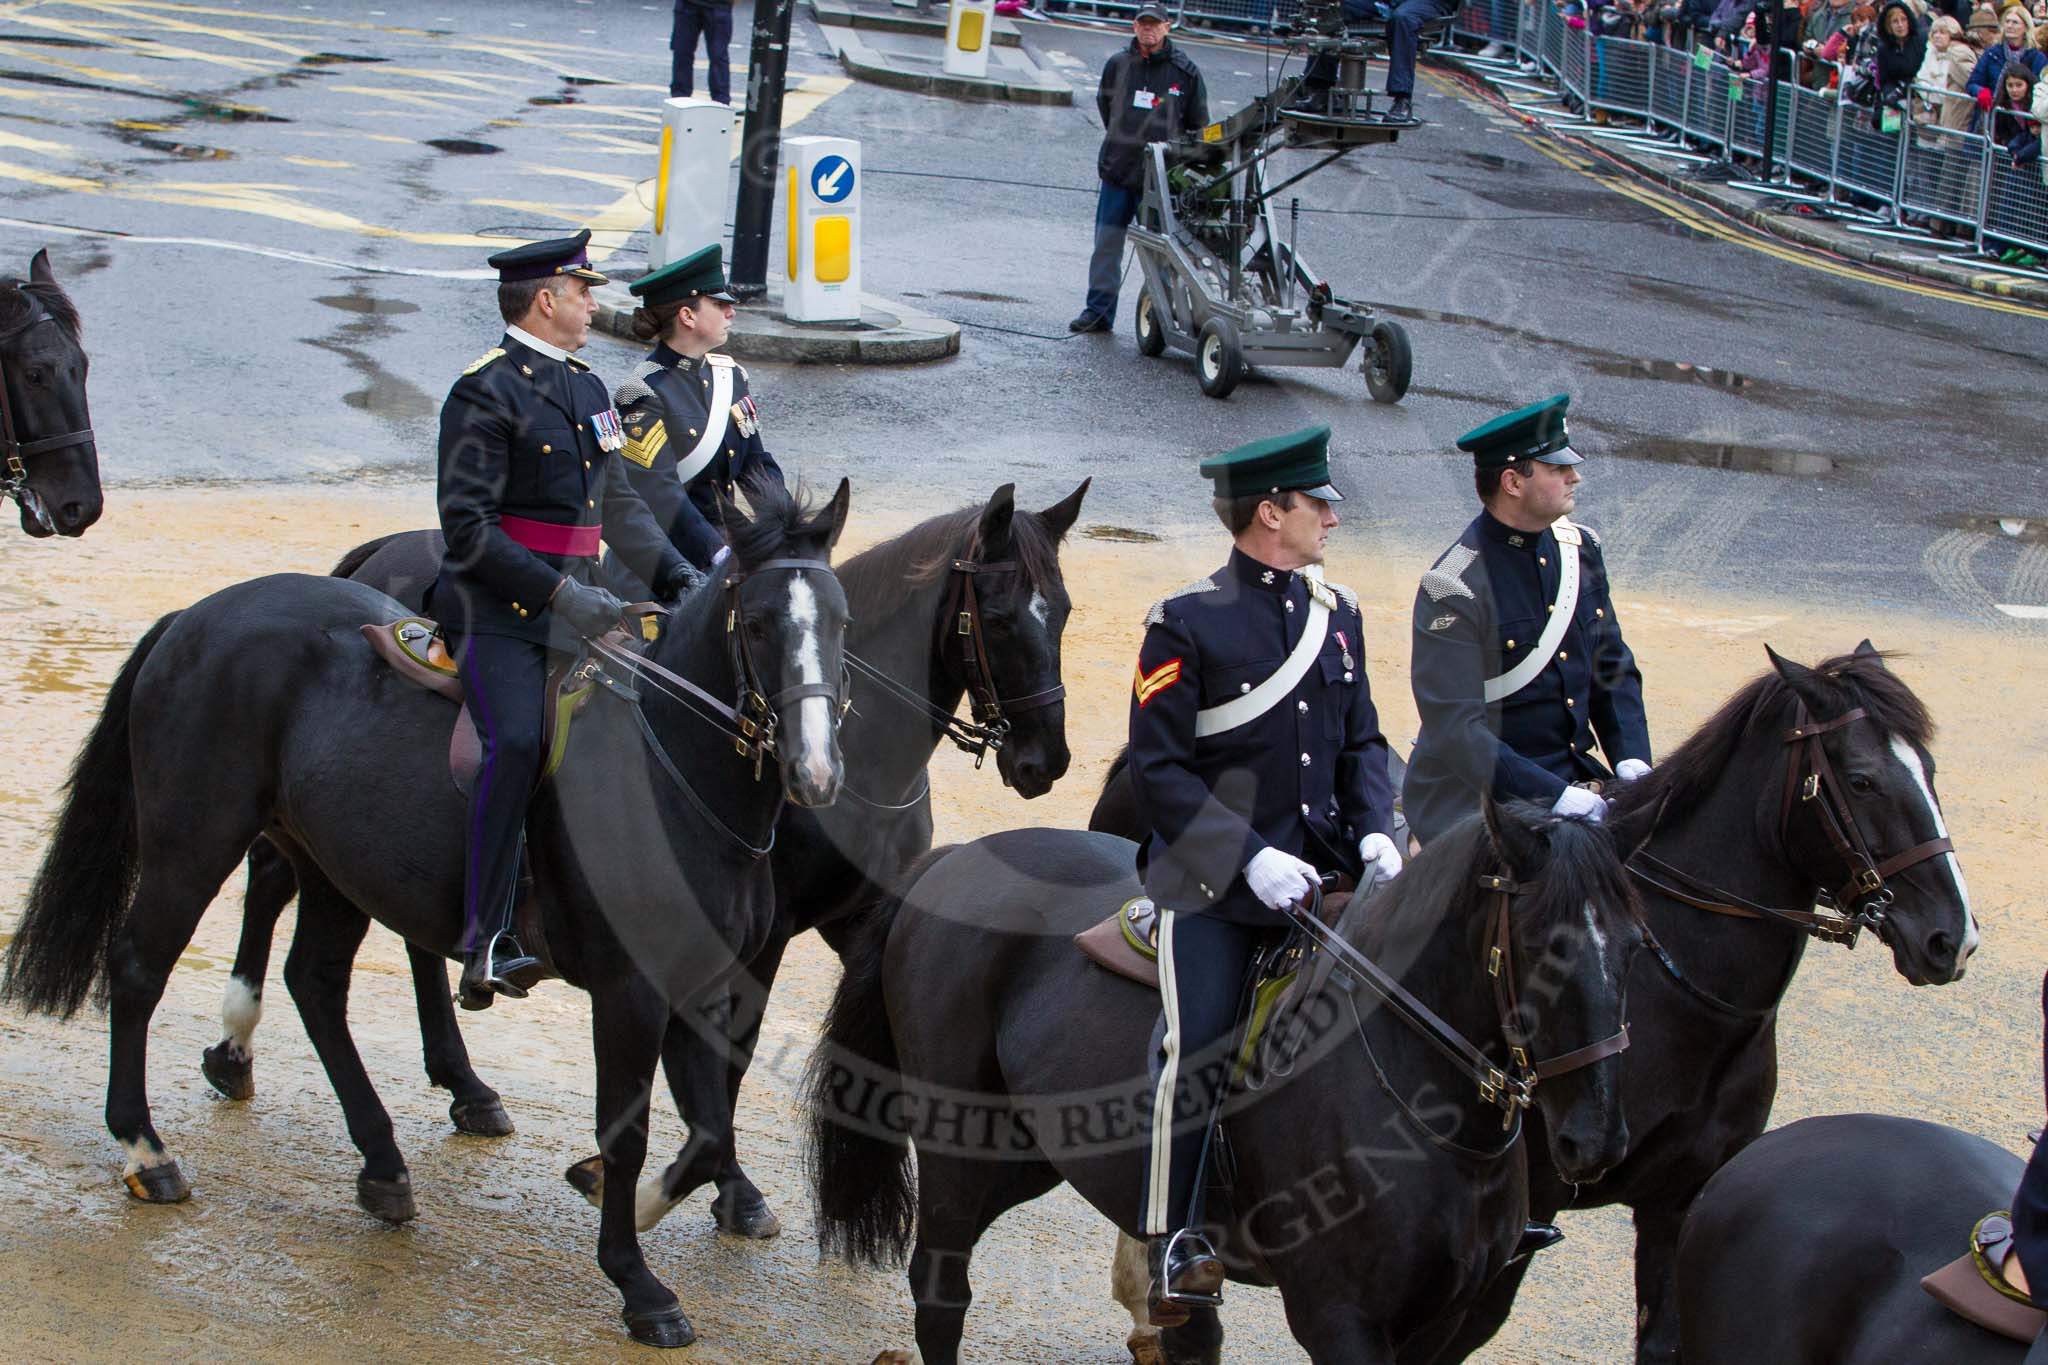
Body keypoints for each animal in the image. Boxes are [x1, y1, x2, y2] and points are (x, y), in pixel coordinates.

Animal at [0, 485, 847, 1350]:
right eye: (759, 623)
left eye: (840, 619)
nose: (816, 771)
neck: (674, 774)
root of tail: (199, 614)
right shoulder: (630, 993)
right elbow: (631, 1129)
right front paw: (636, 1279)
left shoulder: (699, 985)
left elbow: (708, 1130)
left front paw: (630, 1204)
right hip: (192, 845)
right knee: (139, 968)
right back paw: (146, 1149)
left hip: (331, 864)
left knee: (315, 983)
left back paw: (380, 1159)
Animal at [197, 478, 1089, 1236]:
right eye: (998, 613)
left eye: (1064, 611)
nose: (1046, 760)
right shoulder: (759, 934)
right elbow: (731, 1052)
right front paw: (721, 1187)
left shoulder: (850, 916)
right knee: (279, 880)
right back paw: (239, 1044)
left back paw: (458, 1083)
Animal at [802, 802, 1646, 1365]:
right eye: (1541, 943)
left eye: (1637, 940)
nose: (1595, 1137)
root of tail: (958, 857)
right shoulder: (1341, 1317)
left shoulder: (1440, 1325)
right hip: (960, 1152)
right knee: (942, 1292)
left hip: (1031, 1153)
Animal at [1089, 642, 1966, 1365]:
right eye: (1861, 779)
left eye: (1931, 767)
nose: (1951, 937)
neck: (1696, 1003)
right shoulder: (1529, 1206)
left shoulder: (1677, 1200)